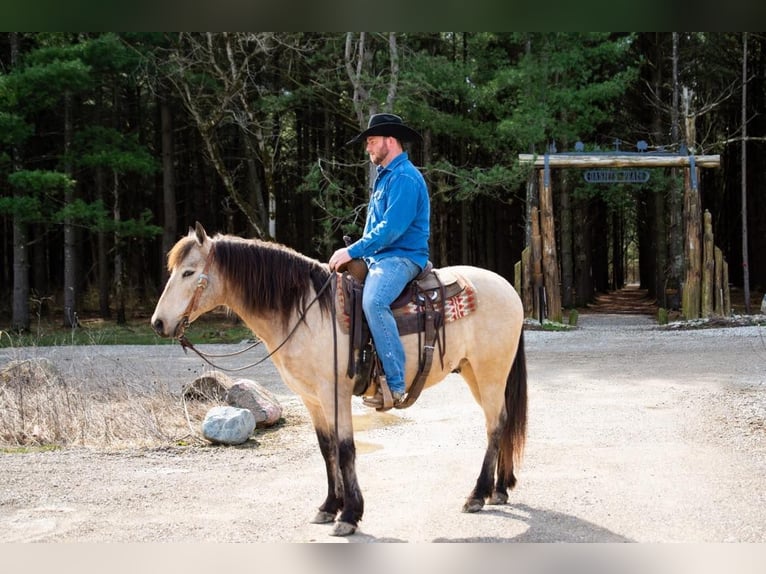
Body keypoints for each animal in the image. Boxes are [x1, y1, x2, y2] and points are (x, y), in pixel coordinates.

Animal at [150, 223, 528, 536]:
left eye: (188, 272)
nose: (158, 323)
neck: (305, 311)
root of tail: (508, 288)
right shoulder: (312, 398)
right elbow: (326, 447)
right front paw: (329, 506)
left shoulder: (335, 392)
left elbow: (346, 449)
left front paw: (350, 515)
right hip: (474, 373)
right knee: (502, 421)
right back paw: (499, 490)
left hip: (490, 372)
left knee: (496, 425)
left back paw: (477, 494)